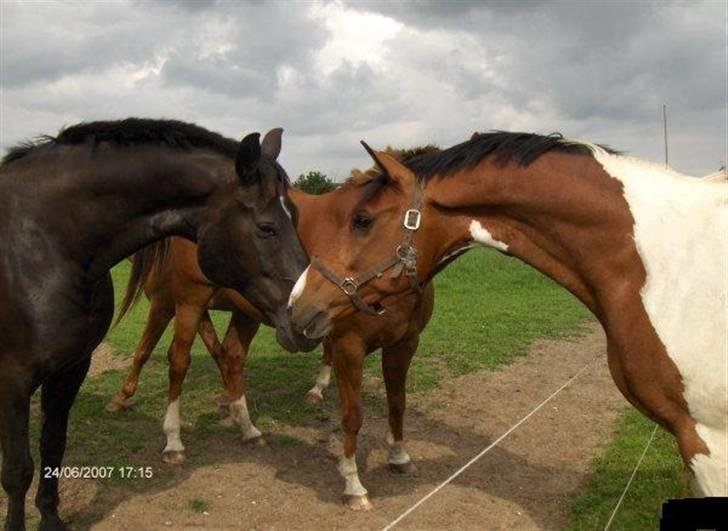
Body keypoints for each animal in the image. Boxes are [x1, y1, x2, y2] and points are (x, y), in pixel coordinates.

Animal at [0, 120, 318, 531]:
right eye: (266, 228)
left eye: (294, 216)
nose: (310, 316)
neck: (42, 244)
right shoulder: (14, 378)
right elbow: (17, 469)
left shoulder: (71, 368)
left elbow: (53, 447)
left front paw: (52, 519)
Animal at [105, 147, 440, 512]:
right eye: (363, 221)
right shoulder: (348, 344)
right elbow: (147, 350)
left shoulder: (404, 343)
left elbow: (397, 401)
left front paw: (399, 457)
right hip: (191, 301)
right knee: (179, 361)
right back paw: (175, 442)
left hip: (236, 310)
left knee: (229, 356)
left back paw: (246, 427)